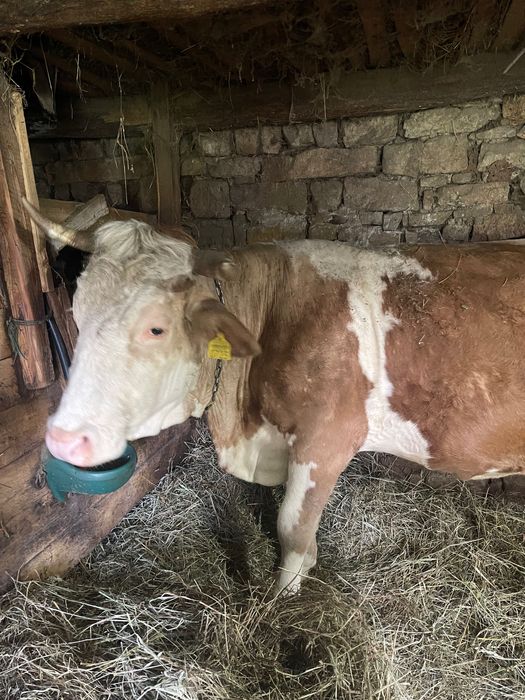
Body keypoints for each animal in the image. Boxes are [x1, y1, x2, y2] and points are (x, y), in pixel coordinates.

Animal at [23, 199, 525, 594]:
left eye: (156, 328)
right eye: (77, 311)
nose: (65, 439)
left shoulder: (327, 440)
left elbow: (292, 529)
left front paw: (282, 601)